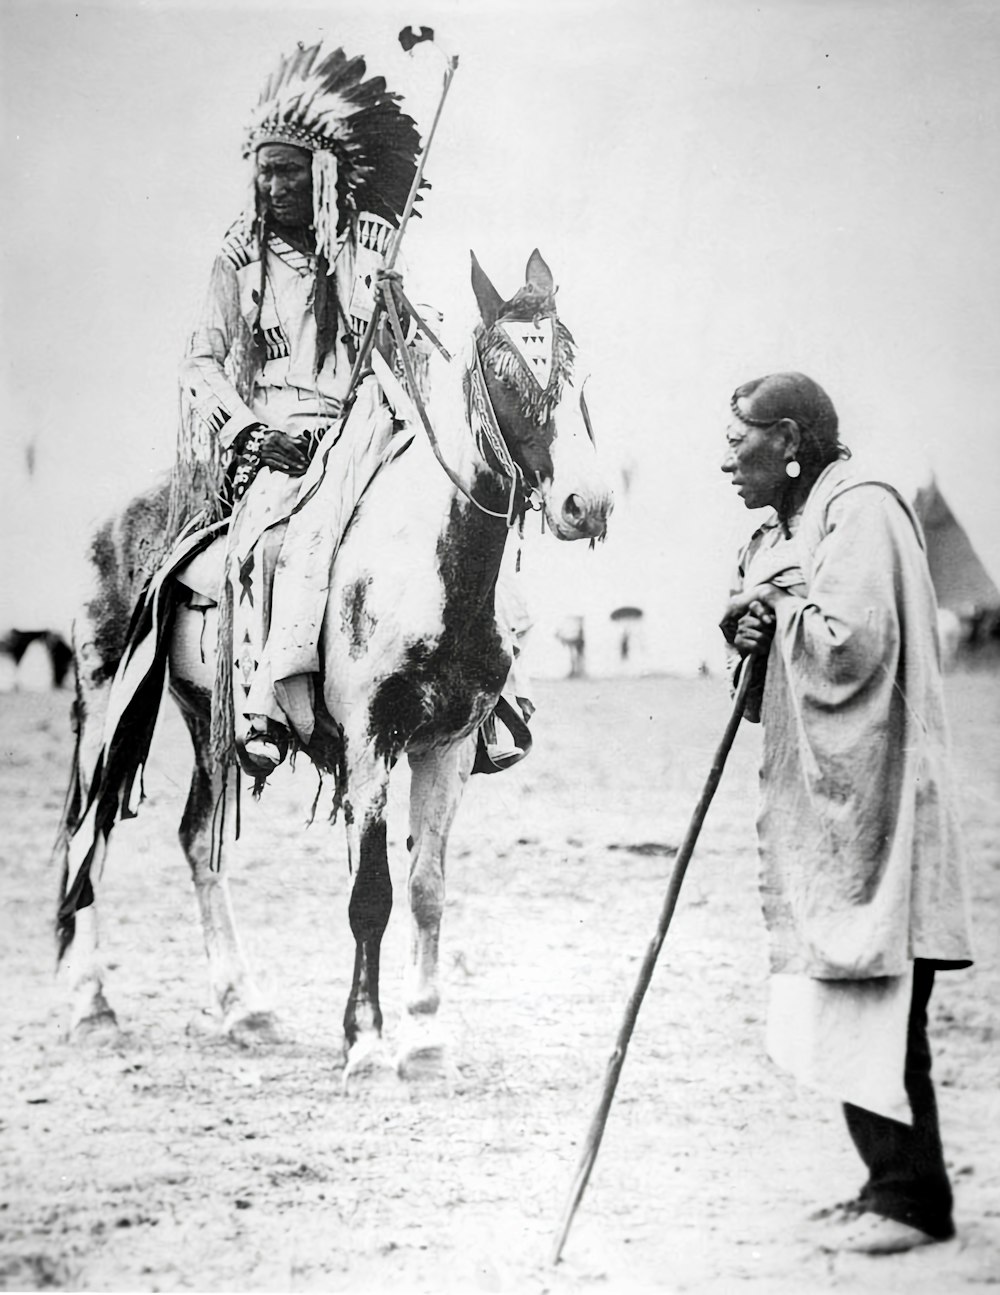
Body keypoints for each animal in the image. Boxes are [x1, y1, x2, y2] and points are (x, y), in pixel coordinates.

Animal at [60, 252, 616, 1082]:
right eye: (506, 369)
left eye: (577, 369)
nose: (589, 503)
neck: (430, 567)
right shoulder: (370, 743)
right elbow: (372, 896)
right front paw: (366, 1040)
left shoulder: (447, 747)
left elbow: (427, 888)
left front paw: (426, 1037)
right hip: (104, 706)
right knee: (84, 836)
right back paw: (90, 1005)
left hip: (205, 719)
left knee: (195, 838)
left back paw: (245, 1006)